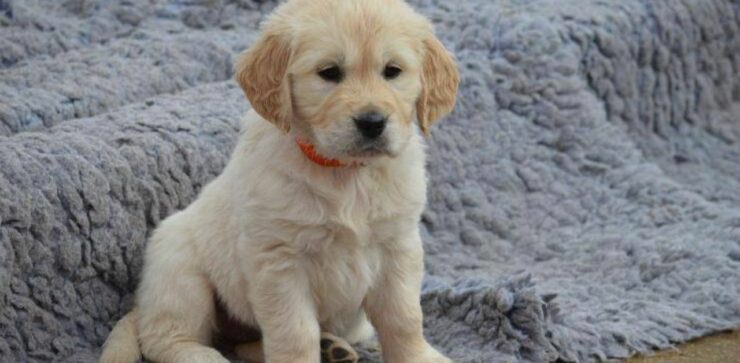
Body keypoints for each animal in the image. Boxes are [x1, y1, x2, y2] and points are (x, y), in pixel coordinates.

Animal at [98, 0, 456, 363]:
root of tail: (143, 305)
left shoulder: (398, 246)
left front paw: (418, 356)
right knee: (164, 337)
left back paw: (332, 347)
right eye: (329, 72)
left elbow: (403, 317)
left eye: (392, 71)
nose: (372, 122)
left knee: (243, 343)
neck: (345, 172)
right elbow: (294, 332)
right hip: (179, 270)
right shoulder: (279, 261)